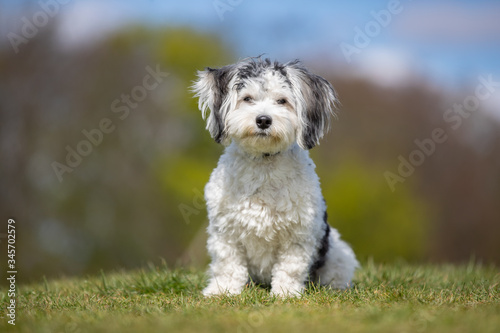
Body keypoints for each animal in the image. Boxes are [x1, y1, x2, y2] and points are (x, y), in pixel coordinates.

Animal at [192, 57, 360, 296]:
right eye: (247, 98)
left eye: (282, 101)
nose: (263, 120)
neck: (264, 164)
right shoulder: (225, 232)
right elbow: (228, 265)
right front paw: (222, 291)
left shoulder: (297, 235)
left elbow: (290, 267)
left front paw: (286, 293)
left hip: (338, 254)